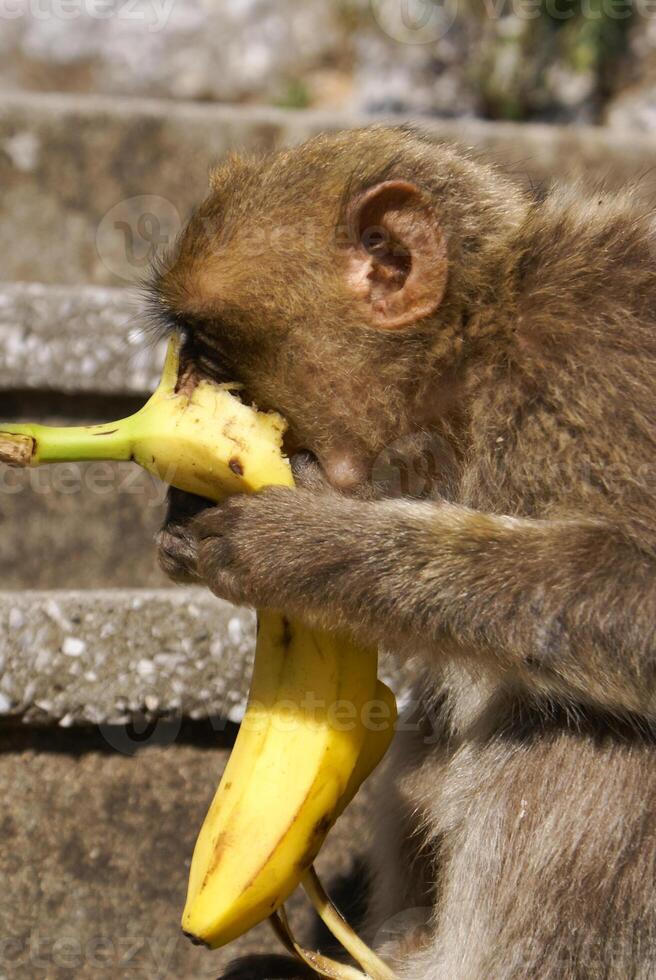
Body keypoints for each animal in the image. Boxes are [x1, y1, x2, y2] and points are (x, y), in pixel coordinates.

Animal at [151, 126, 656, 976]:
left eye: (207, 346)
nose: (180, 380)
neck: (478, 357)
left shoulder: (599, 371)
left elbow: (637, 595)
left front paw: (297, 548)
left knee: (577, 721)